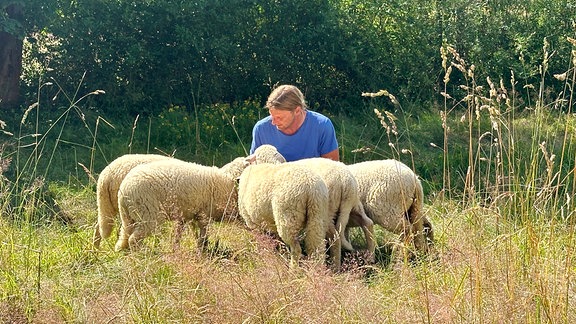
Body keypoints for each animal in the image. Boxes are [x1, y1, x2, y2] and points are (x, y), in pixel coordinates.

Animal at [113, 156, 248, 252]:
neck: (226, 181)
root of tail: (123, 191)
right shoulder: (203, 215)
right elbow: (203, 235)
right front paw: (202, 250)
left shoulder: (190, 215)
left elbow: (184, 234)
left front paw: (179, 249)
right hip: (148, 214)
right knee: (133, 239)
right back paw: (142, 254)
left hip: (129, 216)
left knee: (125, 236)